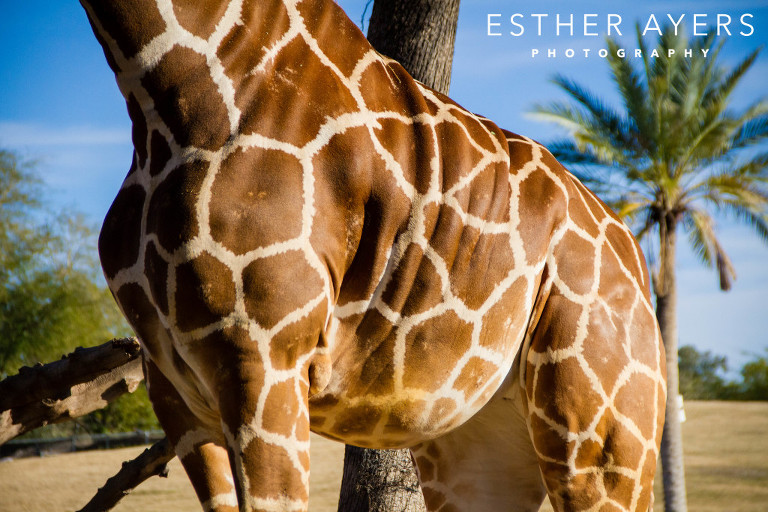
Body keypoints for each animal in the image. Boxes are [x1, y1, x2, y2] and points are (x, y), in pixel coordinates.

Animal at [82, 0, 666, 510]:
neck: (161, 89)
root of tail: (636, 258)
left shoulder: (262, 357)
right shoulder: (179, 395)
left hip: (603, 437)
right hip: (483, 443)